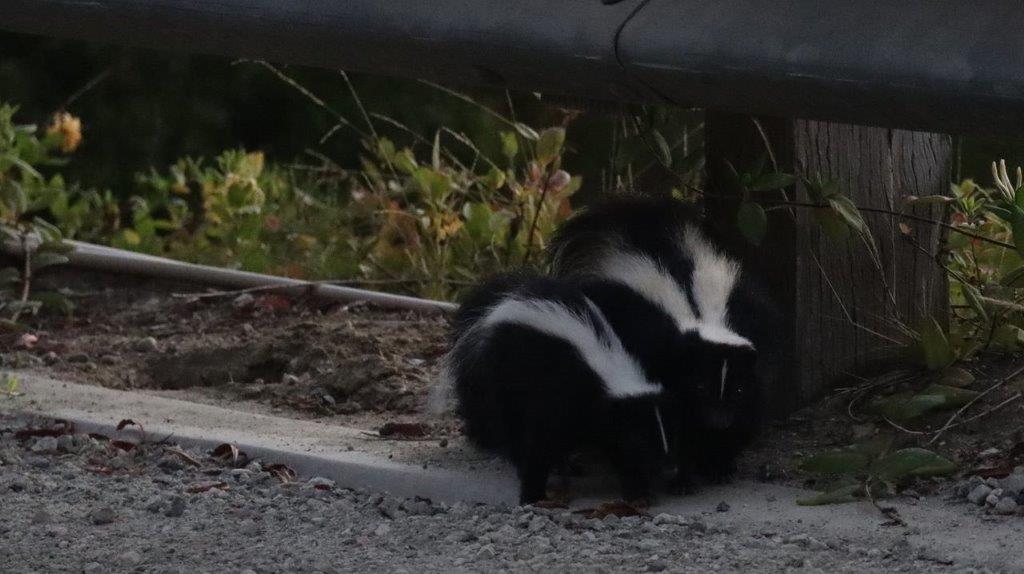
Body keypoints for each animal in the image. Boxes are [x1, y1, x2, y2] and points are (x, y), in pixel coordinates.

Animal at [440, 272, 671, 501]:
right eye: (642, 435)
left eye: (663, 431)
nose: (666, 466)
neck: (607, 370)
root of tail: (507, 299)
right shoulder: (560, 397)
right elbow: (541, 443)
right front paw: (532, 493)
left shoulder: (603, 420)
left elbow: (618, 448)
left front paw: (636, 491)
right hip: (508, 373)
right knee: (513, 423)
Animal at [548, 194, 778, 491]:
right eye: (699, 384)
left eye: (736, 389)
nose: (717, 422)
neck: (699, 315)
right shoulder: (651, 346)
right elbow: (668, 418)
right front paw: (681, 476)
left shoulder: (751, 334)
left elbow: (749, 406)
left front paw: (719, 464)